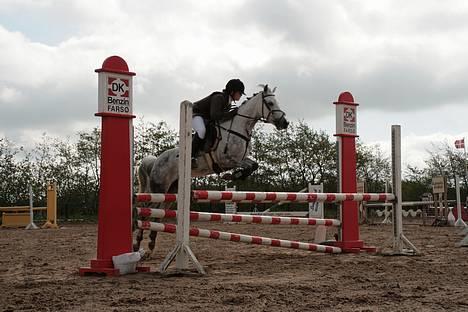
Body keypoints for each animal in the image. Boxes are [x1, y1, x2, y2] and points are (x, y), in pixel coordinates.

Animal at [133, 84, 288, 254]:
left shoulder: (241, 159)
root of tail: (156, 160)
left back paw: (151, 245)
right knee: (146, 211)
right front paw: (232, 175)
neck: (239, 127)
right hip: (159, 188)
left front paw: (236, 175)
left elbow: (254, 165)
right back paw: (137, 245)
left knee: (158, 214)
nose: (285, 123)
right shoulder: (227, 160)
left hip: (172, 191)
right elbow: (246, 166)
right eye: (270, 103)